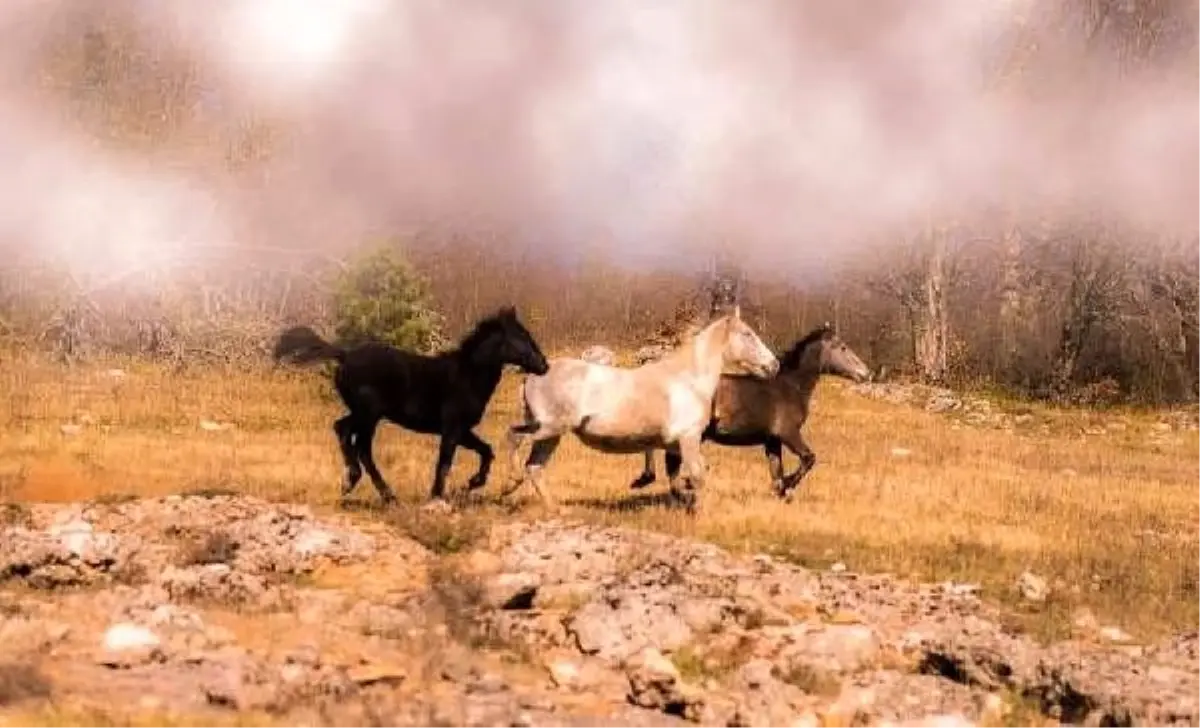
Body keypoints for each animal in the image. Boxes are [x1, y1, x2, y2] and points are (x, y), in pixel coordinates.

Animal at [273, 307, 549, 506]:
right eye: (521, 337)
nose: (544, 365)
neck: (467, 375)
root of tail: (344, 355)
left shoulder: (462, 430)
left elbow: (486, 451)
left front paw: (469, 485)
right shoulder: (452, 429)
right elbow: (444, 462)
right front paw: (438, 496)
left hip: (363, 413)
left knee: (342, 430)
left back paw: (354, 482)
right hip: (369, 415)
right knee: (360, 446)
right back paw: (378, 491)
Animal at [504, 307, 777, 513]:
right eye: (747, 334)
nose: (773, 366)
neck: (688, 381)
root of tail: (533, 374)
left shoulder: (673, 444)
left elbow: (680, 476)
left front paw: (677, 496)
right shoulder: (688, 438)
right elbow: (697, 475)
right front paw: (700, 512)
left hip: (551, 435)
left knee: (535, 467)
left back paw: (556, 509)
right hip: (550, 427)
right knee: (515, 437)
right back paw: (510, 482)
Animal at [628, 323, 873, 501]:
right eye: (842, 347)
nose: (865, 373)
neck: (791, 387)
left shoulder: (772, 440)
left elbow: (776, 470)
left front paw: (780, 490)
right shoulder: (788, 433)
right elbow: (808, 458)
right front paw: (788, 485)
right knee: (671, 461)